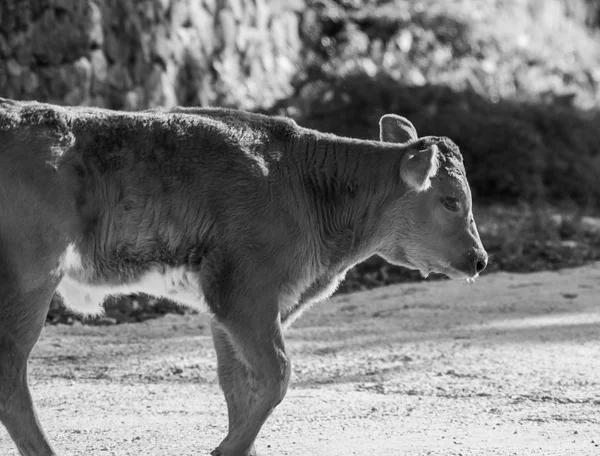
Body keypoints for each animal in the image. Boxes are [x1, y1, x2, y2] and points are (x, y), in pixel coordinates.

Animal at [0, 99, 488, 456]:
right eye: (450, 200)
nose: (480, 258)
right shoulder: (246, 294)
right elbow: (276, 374)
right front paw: (228, 451)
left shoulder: (227, 307)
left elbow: (238, 384)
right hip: (29, 279)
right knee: (10, 374)